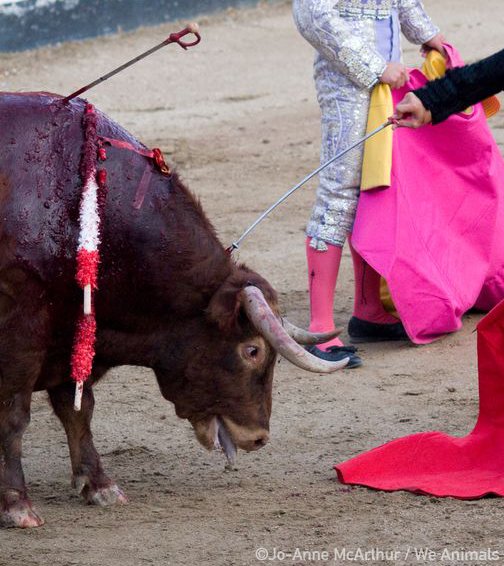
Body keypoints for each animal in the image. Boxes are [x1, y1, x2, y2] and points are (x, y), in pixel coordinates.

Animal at [0, 91, 346, 532]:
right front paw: (17, 504)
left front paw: (100, 485)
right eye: (252, 350)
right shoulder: (22, 335)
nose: (258, 437)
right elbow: (15, 416)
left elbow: (78, 410)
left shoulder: (71, 335)